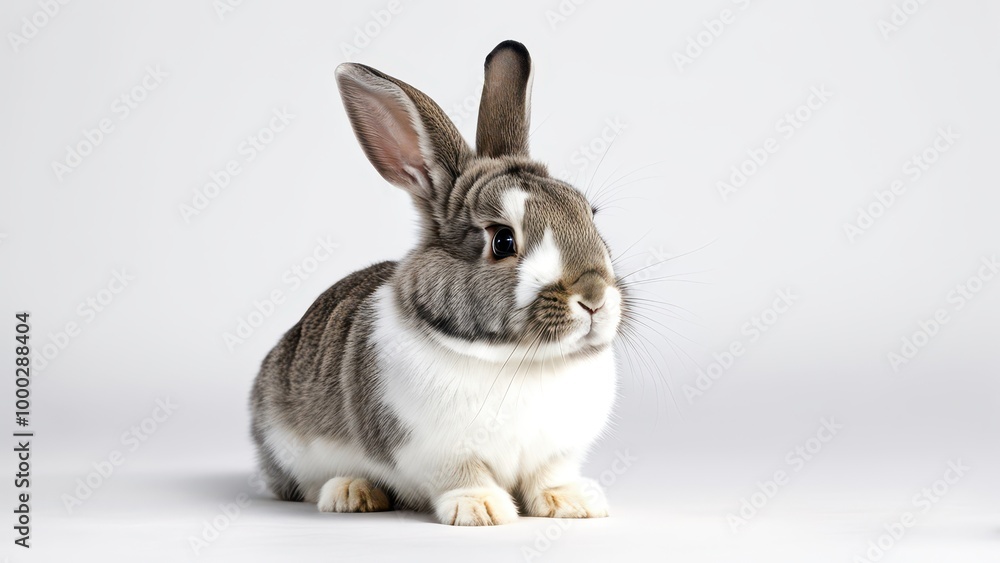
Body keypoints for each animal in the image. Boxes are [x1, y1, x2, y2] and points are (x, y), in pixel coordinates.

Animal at [250, 40, 625, 526]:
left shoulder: (556, 452)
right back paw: (351, 492)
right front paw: (480, 509)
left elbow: (549, 477)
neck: (520, 359)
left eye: (589, 215)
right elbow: (463, 476)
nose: (594, 298)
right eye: (502, 240)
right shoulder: (437, 450)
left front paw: (574, 503)